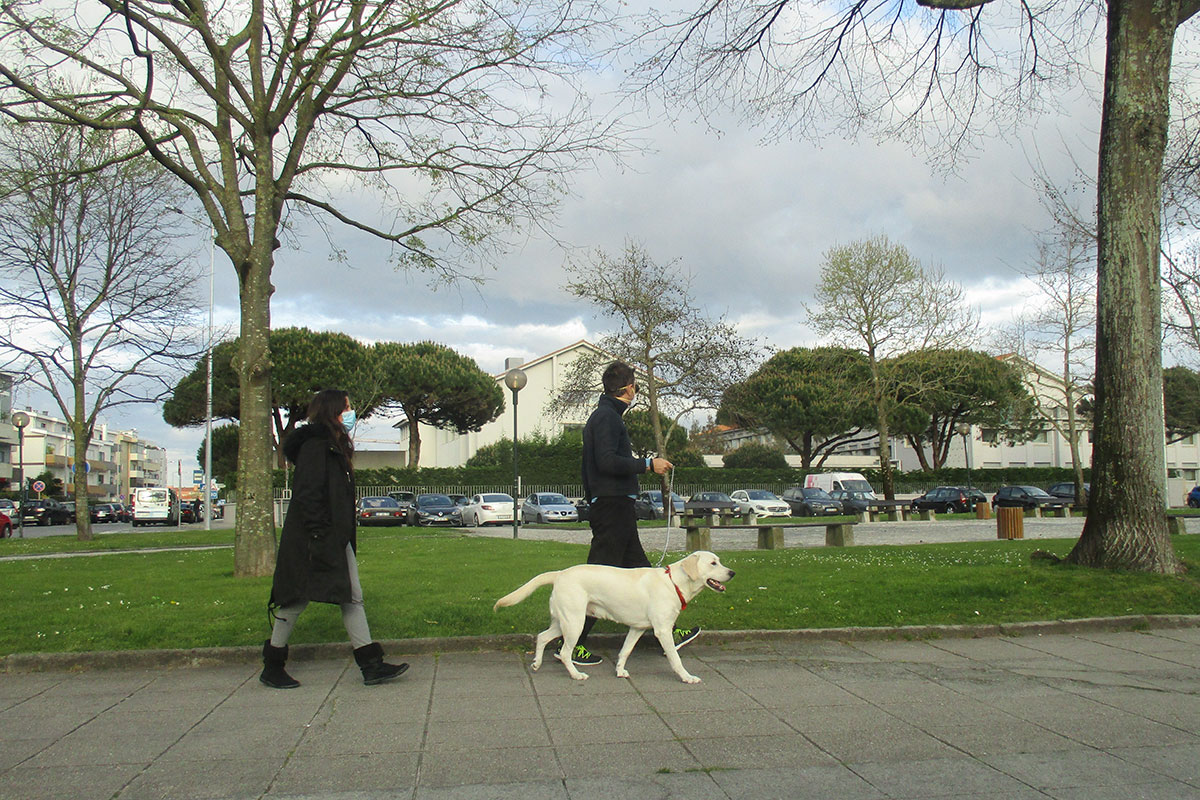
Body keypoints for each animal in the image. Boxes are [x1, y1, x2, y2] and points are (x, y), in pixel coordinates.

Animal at [489, 554, 729, 686]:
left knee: (541, 637)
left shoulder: (637, 628)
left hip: (563, 622)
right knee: (564, 653)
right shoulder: (662, 630)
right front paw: (687, 677)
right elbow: (675, 659)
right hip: (575, 623)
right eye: (713, 563)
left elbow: (625, 651)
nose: (732, 573)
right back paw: (576, 675)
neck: (674, 582)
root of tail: (560, 573)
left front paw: (620, 671)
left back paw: (537, 663)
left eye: (720, 561)